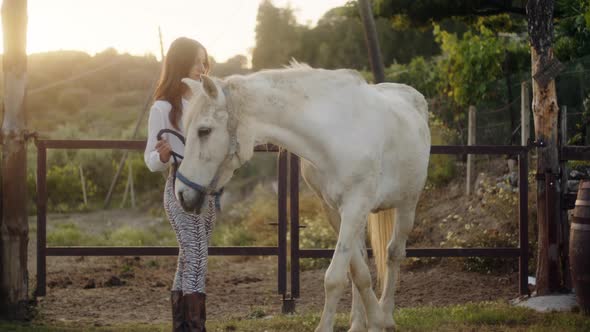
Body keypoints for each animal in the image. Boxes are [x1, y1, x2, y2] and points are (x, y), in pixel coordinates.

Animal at [176, 63, 430, 332]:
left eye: (204, 131)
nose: (181, 194)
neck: (334, 133)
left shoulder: (355, 206)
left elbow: (335, 277)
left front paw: (371, 322)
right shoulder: (335, 211)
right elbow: (357, 271)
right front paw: (372, 321)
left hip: (407, 204)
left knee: (394, 254)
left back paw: (388, 315)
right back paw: (359, 322)